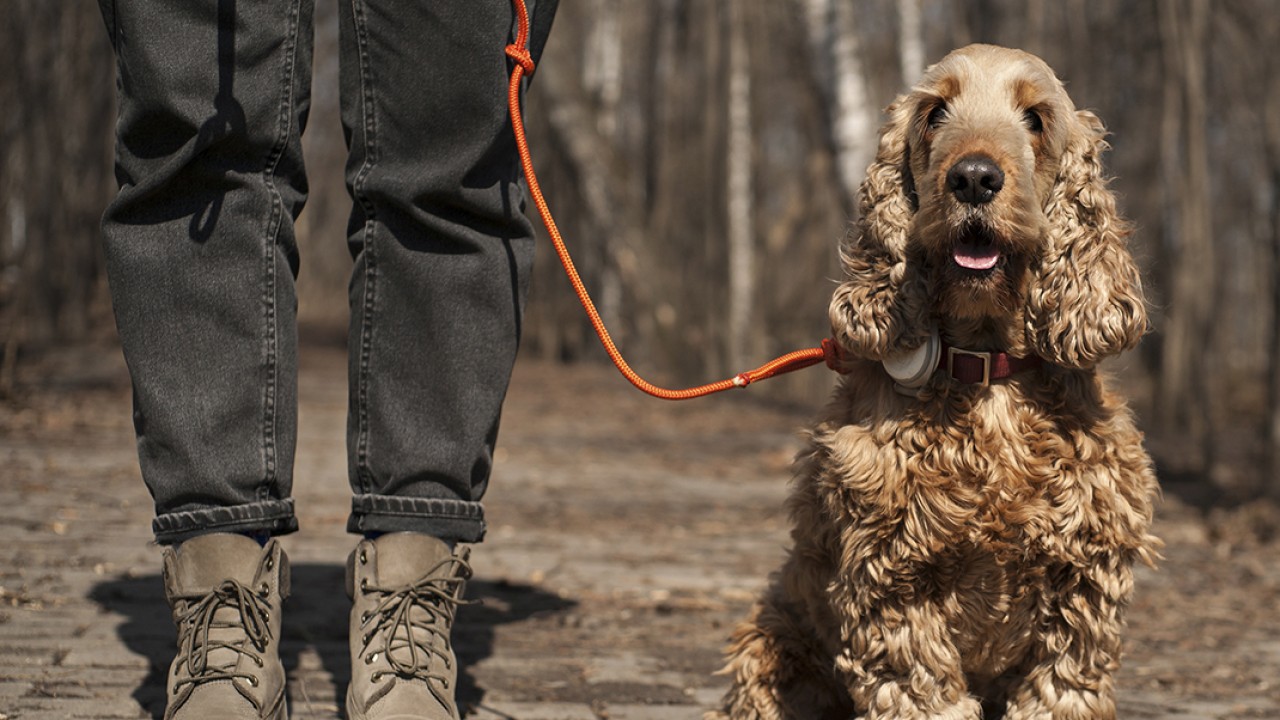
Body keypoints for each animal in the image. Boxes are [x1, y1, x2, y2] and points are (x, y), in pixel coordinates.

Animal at [711, 43, 1162, 717]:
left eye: (1036, 118)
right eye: (934, 114)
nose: (974, 177)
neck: (986, 373)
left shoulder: (1083, 586)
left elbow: (1060, 687)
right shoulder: (894, 581)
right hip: (770, 645)